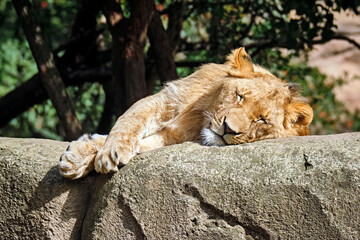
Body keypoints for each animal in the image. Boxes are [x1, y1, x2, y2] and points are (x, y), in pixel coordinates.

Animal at [58, 47, 312, 179]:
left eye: (261, 120)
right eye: (239, 96)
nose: (228, 129)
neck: (199, 117)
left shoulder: (173, 137)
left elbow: (145, 144)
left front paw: (94, 154)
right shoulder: (166, 101)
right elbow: (129, 120)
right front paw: (91, 152)